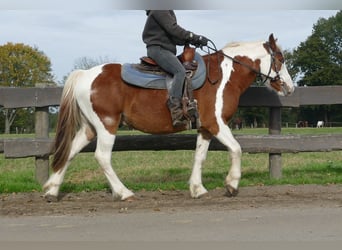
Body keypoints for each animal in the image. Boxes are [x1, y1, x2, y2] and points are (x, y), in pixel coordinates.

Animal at [43, 33, 294, 201]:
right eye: (280, 59)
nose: (290, 87)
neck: (223, 77)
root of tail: (85, 74)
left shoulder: (204, 128)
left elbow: (199, 157)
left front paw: (197, 189)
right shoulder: (216, 124)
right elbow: (236, 149)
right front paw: (231, 185)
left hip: (89, 128)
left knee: (70, 152)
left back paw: (51, 190)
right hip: (107, 125)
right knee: (102, 157)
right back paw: (124, 193)